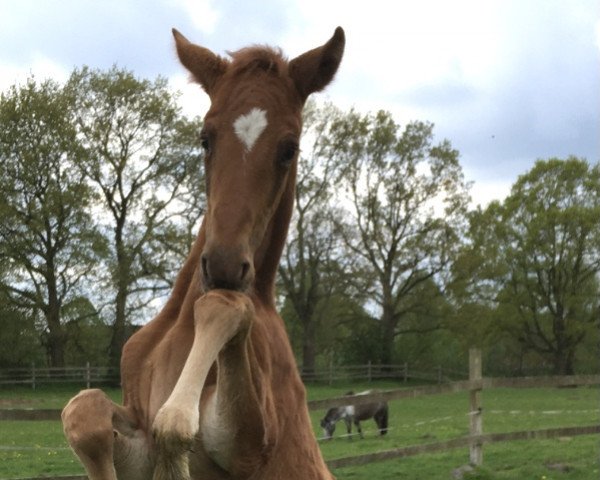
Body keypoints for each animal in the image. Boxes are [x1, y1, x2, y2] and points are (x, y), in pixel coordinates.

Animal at [61, 27, 344, 480]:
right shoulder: (134, 437)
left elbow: (176, 420)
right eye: (205, 138)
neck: (179, 333)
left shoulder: (248, 446)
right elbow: (84, 413)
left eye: (290, 148)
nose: (225, 265)